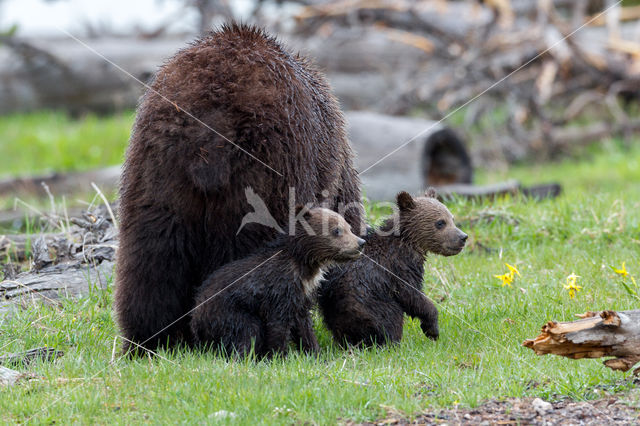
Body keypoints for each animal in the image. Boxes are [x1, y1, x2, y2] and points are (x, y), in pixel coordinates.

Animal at [189, 208, 364, 358]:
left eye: (349, 227)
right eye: (337, 230)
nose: (360, 242)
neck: (304, 267)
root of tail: (195, 318)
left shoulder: (302, 294)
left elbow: (304, 326)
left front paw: (316, 354)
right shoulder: (279, 290)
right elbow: (278, 325)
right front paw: (279, 356)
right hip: (228, 312)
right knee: (248, 331)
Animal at [318, 190, 464, 346]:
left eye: (452, 218)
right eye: (440, 222)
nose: (463, 237)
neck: (408, 242)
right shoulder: (399, 268)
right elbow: (412, 295)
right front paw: (432, 329)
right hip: (371, 306)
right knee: (390, 319)